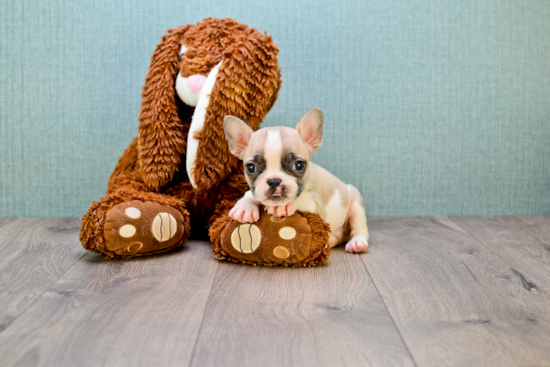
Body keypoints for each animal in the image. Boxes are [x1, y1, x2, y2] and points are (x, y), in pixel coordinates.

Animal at [224, 108, 370, 254]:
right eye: (251, 167)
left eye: (299, 165)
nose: (274, 180)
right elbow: (249, 194)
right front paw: (244, 207)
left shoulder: (318, 207)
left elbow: (304, 199)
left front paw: (284, 205)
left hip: (356, 205)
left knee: (359, 229)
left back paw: (357, 242)